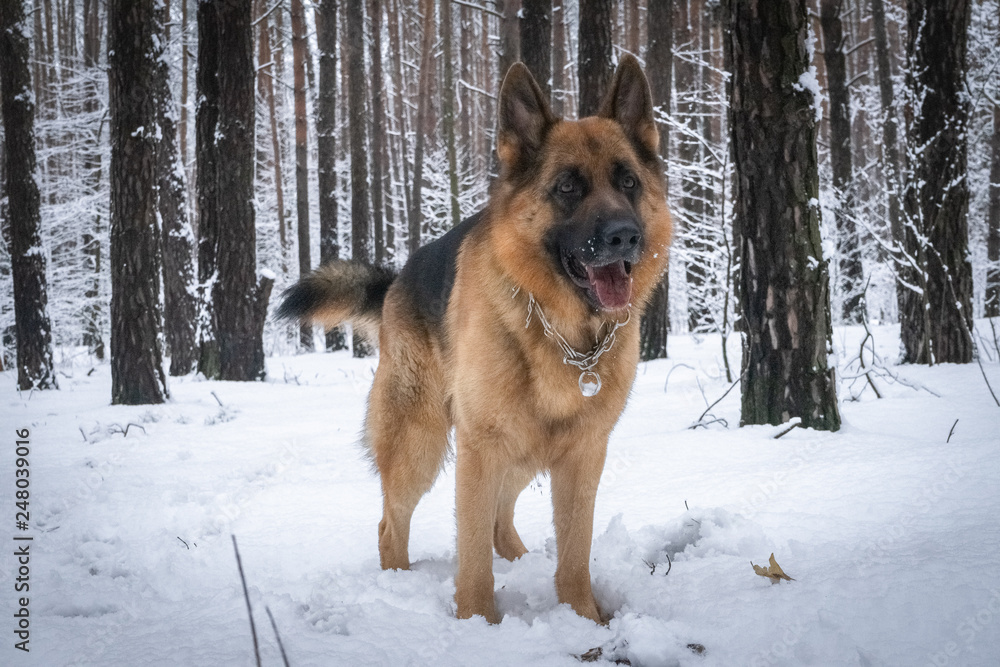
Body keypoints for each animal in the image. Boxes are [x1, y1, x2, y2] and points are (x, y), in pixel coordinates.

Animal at [280, 54, 672, 624]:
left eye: (628, 182)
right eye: (567, 188)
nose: (625, 236)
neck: (561, 331)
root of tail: (397, 278)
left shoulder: (583, 455)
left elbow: (575, 553)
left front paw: (584, 618)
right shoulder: (480, 450)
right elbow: (471, 555)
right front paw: (477, 623)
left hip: (517, 446)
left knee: (499, 521)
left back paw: (520, 561)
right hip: (421, 445)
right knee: (391, 524)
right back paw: (398, 584)